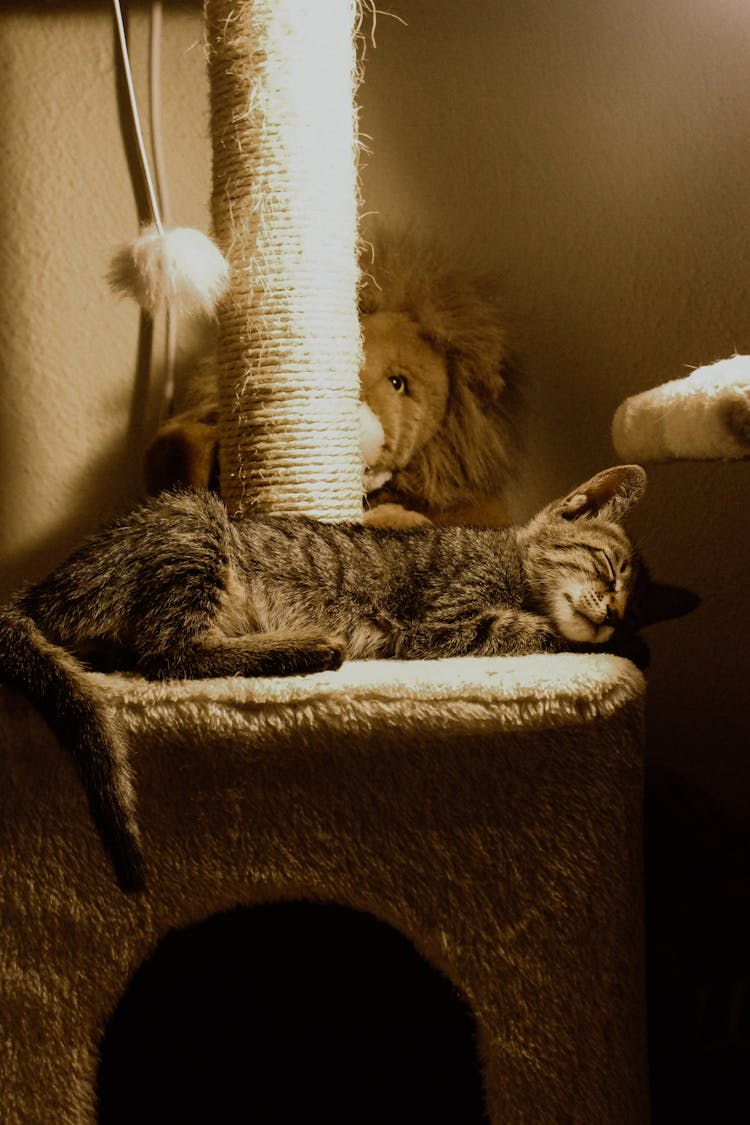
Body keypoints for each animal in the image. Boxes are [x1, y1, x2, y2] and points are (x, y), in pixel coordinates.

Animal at [0, 461, 674, 891]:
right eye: (609, 567)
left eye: (631, 600)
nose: (614, 615)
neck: (512, 565)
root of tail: (42, 589)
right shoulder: (444, 621)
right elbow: (535, 631)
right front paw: (626, 647)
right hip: (194, 525)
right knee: (169, 653)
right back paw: (305, 648)